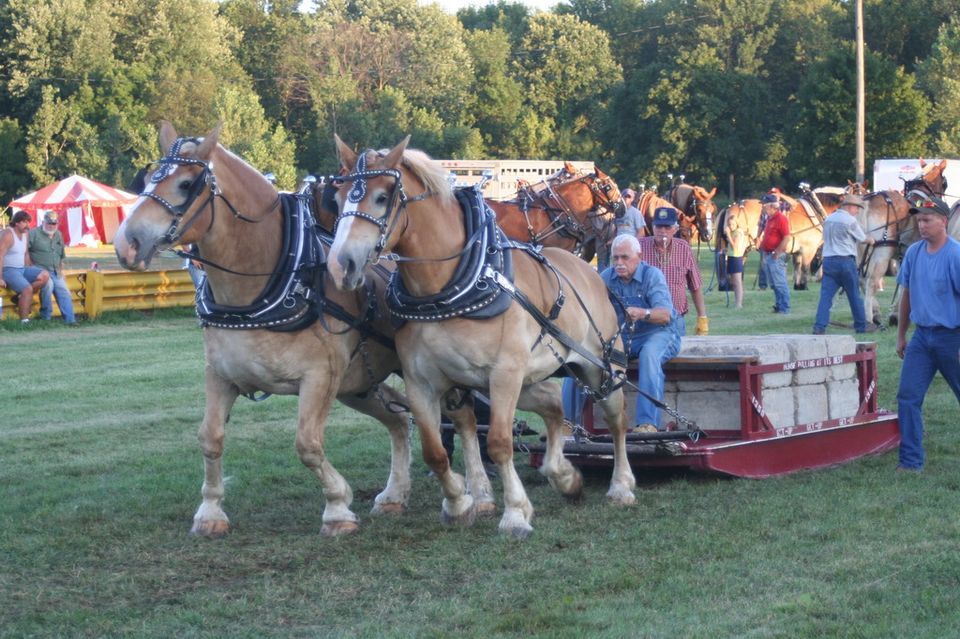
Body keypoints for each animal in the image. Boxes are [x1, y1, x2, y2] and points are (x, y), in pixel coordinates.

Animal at [113, 122, 498, 538]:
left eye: (186, 184)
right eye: (150, 177)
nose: (126, 242)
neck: (268, 284)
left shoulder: (319, 378)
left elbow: (308, 445)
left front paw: (338, 507)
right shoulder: (220, 375)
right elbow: (210, 439)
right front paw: (210, 512)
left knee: (464, 419)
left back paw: (480, 494)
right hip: (360, 383)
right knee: (398, 420)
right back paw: (395, 495)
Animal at [326, 135, 633, 539]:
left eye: (382, 197)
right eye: (336, 197)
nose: (340, 265)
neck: (448, 290)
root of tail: (591, 272)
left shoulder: (504, 374)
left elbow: (500, 443)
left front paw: (515, 513)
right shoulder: (422, 382)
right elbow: (434, 450)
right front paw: (459, 504)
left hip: (601, 368)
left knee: (616, 421)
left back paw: (621, 486)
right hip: (527, 378)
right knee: (553, 404)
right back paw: (563, 475)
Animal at [859, 159, 949, 326]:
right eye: (944, 183)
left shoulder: (903, 256)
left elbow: (902, 282)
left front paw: (896, 314)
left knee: (860, 280)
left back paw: (875, 314)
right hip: (881, 253)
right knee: (871, 282)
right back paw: (868, 319)